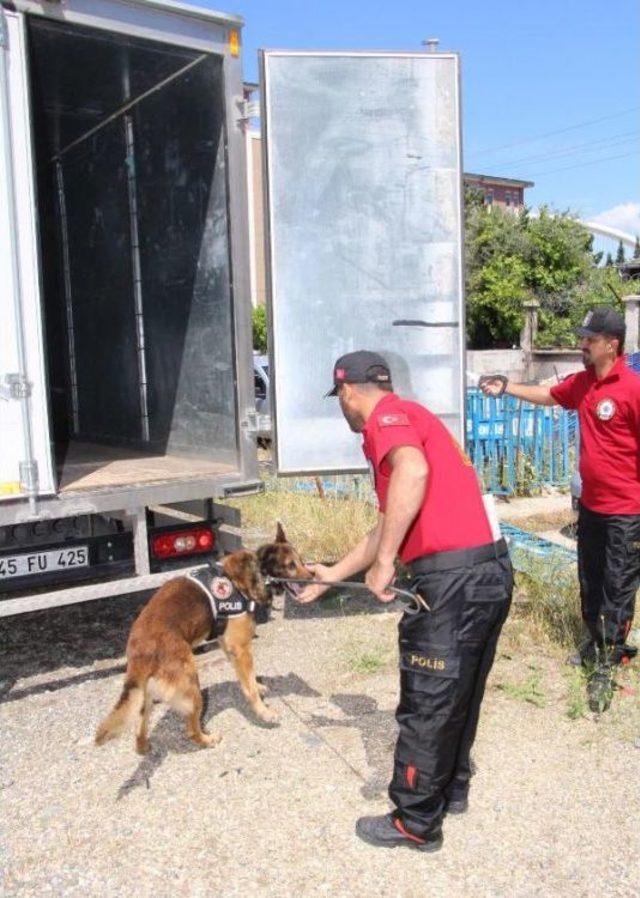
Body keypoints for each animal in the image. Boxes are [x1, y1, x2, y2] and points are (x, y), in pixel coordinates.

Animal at [94, 520, 310, 752]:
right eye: (290, 565)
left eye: (301, 561)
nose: (312, 578)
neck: (258, 572)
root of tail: (139, 650)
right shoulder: (240, 648)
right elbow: (249, 686)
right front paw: (263, 711)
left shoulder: (229, 646)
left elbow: (249, 677)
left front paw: (258, 686)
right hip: (192, 685)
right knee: (190, 729)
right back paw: (207, 740)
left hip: (149, 695)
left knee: (140, 728)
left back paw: (144, 747)